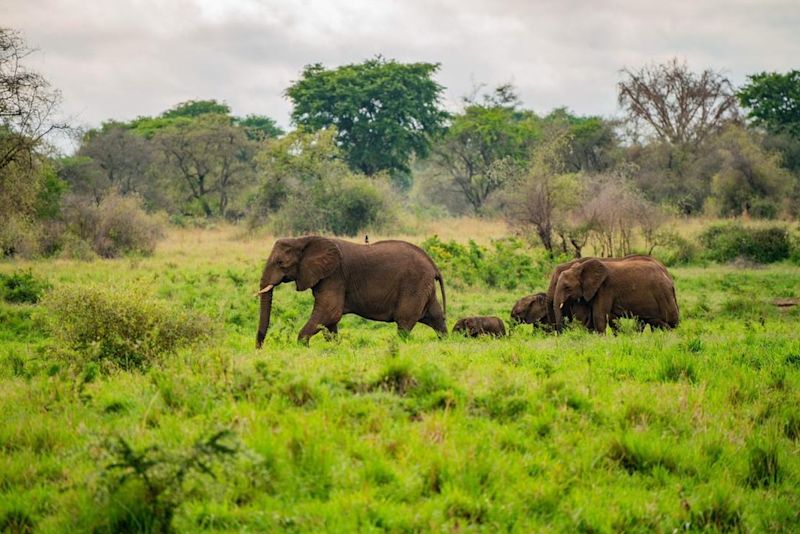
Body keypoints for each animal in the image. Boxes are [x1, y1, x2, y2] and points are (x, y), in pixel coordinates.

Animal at [255, 238, 446, 348]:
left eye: (280, 263)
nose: (259, 348)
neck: (303, 240)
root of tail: (433, 264)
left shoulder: (335, 276)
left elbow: (330, 311)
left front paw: (303, 347)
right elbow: (329, 319)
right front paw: (335, 347)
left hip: (414, 285)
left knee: (404, 322)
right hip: (423, 287)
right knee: (435, 316)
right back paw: (447, 340)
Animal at [552, 260, 680, 336]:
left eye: (567, 287)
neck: (581, 267)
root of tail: (669, 279)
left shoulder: (605, 289)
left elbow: (599, 316)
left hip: (663, 295)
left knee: (671, 322)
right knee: (645, 321)